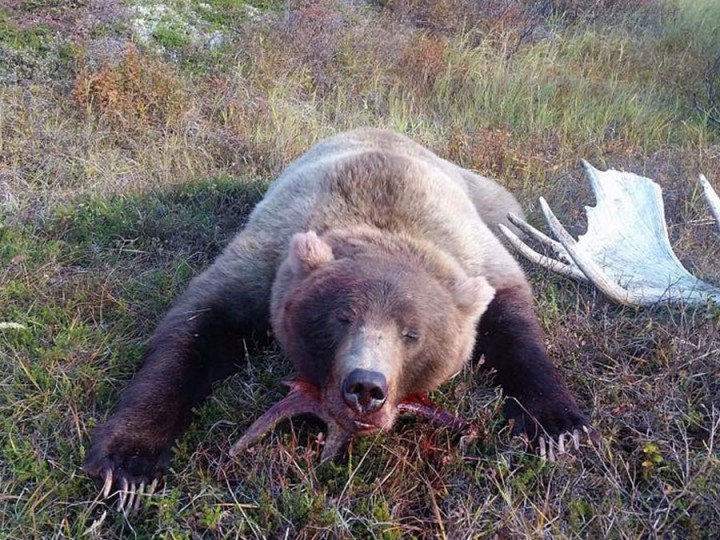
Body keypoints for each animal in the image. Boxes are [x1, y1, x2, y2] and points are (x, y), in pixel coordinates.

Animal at [86, 127, 592, 506]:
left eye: (412, 333)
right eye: (340, 318)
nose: (366, 388)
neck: (386, 225)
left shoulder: (476, 254)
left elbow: (513, 322)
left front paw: (556, 425)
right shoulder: (268, 257)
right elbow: (194, 329)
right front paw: (128, 462)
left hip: (492, 200)